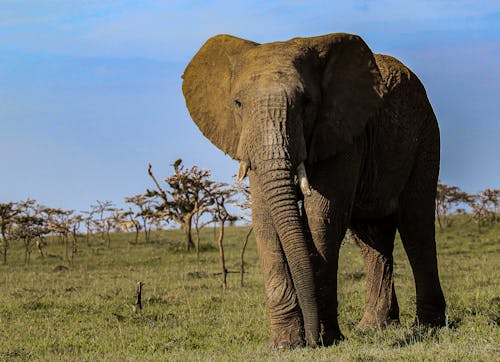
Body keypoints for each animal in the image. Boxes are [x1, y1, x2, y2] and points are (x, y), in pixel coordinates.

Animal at [182, 34, 448, 348]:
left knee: (415, 225)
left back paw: (428, 327)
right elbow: (265, 218)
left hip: (426, 137)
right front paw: (285, 344)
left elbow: (322, 214)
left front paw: (325, 338)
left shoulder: (343, 132)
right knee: (372, 238)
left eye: (307, 103)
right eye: (237, 103)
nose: (309, 339)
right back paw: (374, 328)